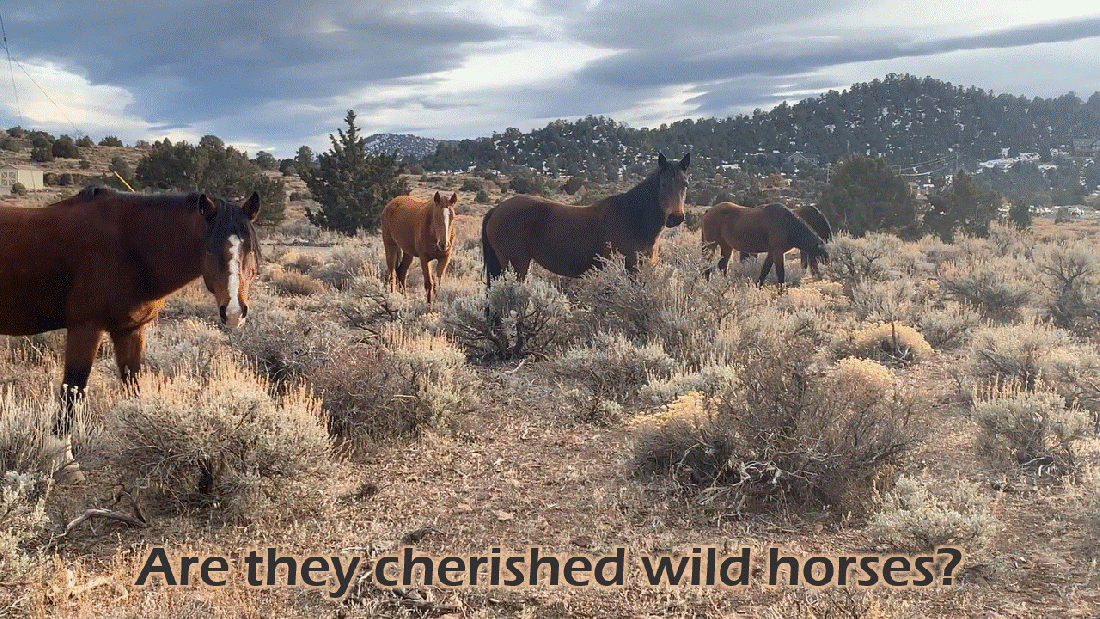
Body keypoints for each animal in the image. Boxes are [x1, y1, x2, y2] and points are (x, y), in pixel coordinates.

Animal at [0, 186, 261, 468]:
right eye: (211, 250)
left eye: (249, 250)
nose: (234, 311)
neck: (129, 248)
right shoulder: (85, 328)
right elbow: (74, 387)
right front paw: (62, 458)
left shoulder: (131, 330)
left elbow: (132, 383)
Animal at [482, 152, 689, 282]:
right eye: (663, 184)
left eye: (685, 184)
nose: (675, 217)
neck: (633, 217)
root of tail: (497, 209)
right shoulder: (630, 269)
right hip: (516, 266)